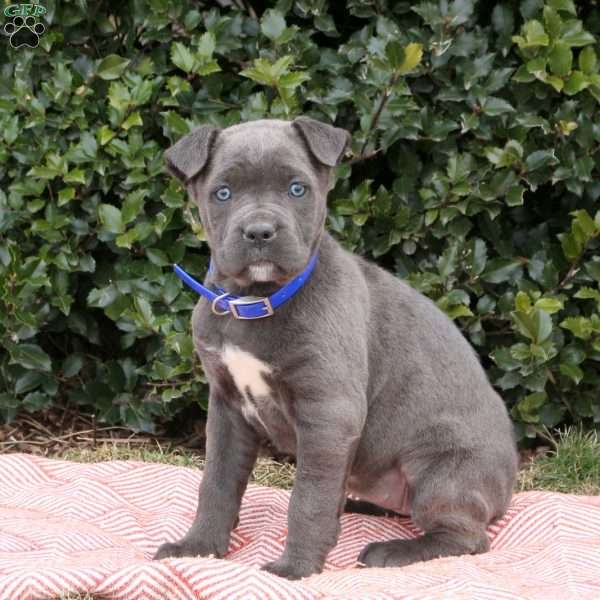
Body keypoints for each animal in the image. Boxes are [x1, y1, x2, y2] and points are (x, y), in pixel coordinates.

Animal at [152, 118, 516, 580]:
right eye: (223, 192)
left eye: (297, 189)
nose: (260, 232)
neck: (254, 301)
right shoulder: (227, 407)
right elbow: (216, 482)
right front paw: (198, 548)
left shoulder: (328, 413)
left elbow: (308, 497)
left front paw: (295, 569)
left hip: (440, 468)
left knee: (467, 536)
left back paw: (393, 551)